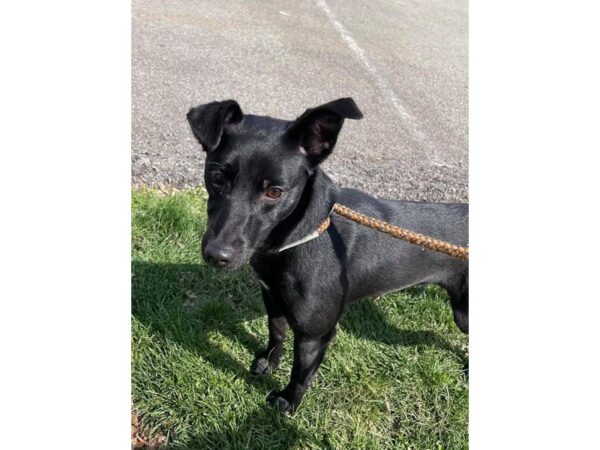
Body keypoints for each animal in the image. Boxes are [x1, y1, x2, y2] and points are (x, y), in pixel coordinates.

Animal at [188, 98, 468, 414]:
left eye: (275, 192)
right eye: (216, 177)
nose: (217, 255)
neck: (297, 238)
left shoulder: (315, 335)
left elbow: (300, 374)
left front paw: (287, 402)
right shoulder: (273, 299)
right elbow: (276, 334)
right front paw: (269, 362)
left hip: (463, 313)